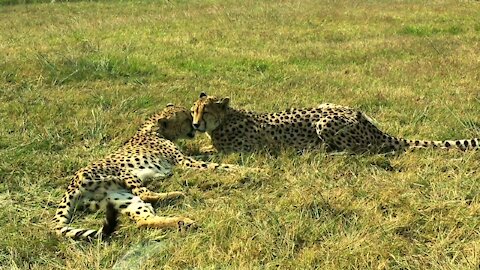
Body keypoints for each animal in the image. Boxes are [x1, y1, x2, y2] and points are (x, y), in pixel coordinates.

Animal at [54, 104, 242, 240]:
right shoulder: (184, 162)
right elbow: (216, 165)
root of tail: (71, 185)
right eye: (187, 118)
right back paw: (177, 194)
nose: (195, 127)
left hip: (119, 198)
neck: (153, 129)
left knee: (143, 220)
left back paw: (182, 221)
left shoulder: (185, 158)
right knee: (145, 194)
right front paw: (244, 169)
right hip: (123, 173)